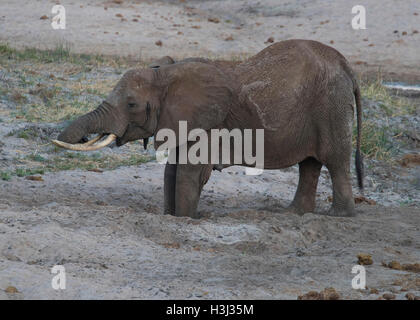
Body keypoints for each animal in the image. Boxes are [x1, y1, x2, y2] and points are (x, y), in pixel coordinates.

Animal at [53, 40, 364, 219]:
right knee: (309, 164)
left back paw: (339, 216)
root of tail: (346, 65)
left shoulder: (206, 125)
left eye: (131, 104)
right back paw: (295, 214)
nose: (82, 136)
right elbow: (172, 171)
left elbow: (188, 173)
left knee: (335, 161)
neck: (165, 75)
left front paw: (186, 219)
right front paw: (172, 218)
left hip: (331, 106)